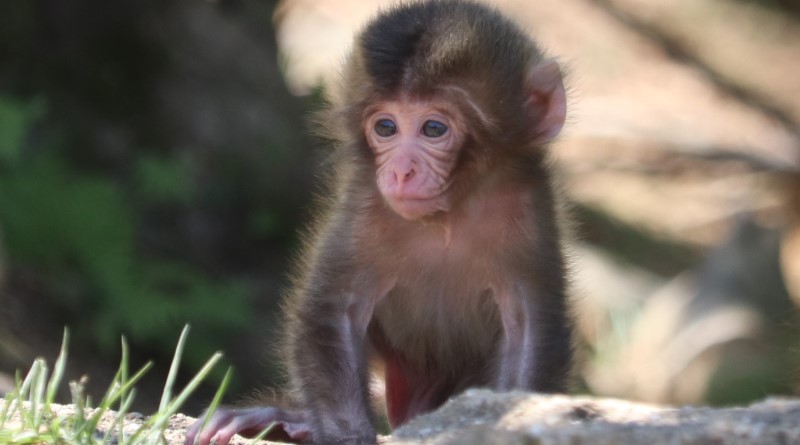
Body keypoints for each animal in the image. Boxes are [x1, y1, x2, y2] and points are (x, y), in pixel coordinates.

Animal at [186, 0, 576, 442]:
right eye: (386, 127)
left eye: (434, 128)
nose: (400, 172)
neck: (449, 213)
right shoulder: (365, 207)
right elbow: (333, 313)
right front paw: (347, 434)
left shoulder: (528, 206)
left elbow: (529, 328)